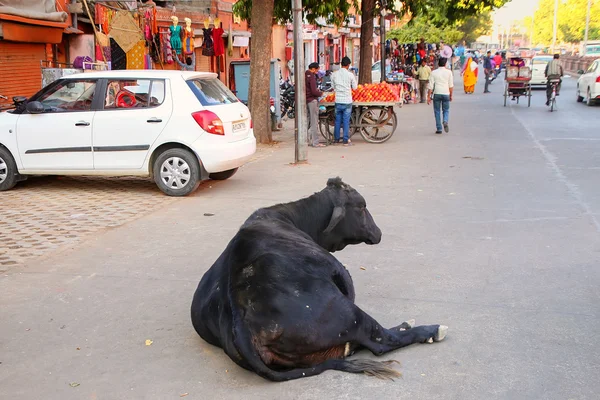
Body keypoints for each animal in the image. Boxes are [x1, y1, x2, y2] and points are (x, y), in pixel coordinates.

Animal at [190, 177, 448, 382]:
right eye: (362, 206)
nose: (379, 232)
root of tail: (240, 321)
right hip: (349, 313)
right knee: (381, 341)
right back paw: (431, 330)